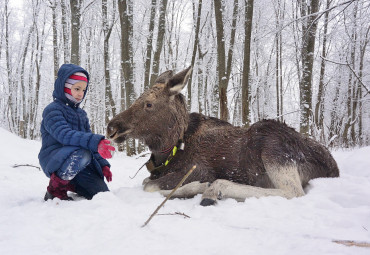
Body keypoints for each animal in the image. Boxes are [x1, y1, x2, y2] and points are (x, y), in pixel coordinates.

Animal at [105, 67, 340, 205]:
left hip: (272, 144)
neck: (170, 149)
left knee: (293, 193)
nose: (111, 127)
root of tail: (333, 168)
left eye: (148, 104)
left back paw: (214, 189)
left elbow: (148, 185)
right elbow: (147, 180)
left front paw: (196, 187)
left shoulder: (199, 169)